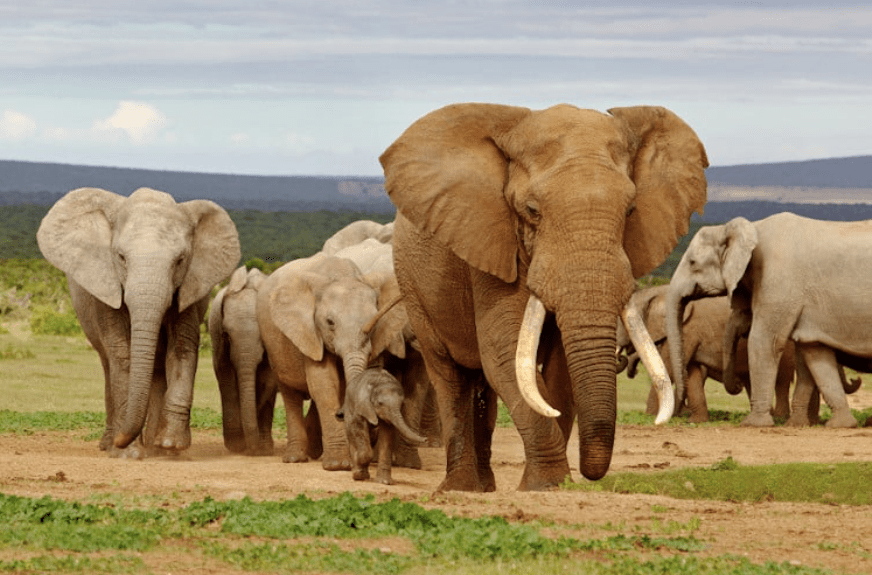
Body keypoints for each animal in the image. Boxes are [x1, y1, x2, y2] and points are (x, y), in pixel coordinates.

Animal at [37, 187, 240, 457]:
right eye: (121, 257)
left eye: (180, 260)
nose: (122, 439)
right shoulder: (106, 286)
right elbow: (122, 354)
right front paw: (127, 453)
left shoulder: (188, 287)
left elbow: (182, 348)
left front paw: (171, 445)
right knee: (108, 362)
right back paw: (111, 444)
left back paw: (155, 447)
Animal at [208, 265, 278, 455]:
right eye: (227, 335)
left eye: (262, 337)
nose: (252, 451)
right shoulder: (218, 337)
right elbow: (226, 376)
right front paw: (236, 445)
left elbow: (267, 380)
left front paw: (262, 449)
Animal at [256, 253, 409, 470]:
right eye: (330, 322)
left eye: (375, 320)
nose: (341, 414)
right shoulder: (311, 333)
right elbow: (325, 384)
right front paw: (338, 465)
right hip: (275, 348)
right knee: (290, 393)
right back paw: (295, 458)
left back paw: (313, 453)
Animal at [381, 103, 709, 491]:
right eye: (532, 211)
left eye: (630, 211)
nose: (589, 474)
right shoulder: (492, 244)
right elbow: (505, 351)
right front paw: (548, 485)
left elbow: (559, 366)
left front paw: (553, 484)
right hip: (413, 287)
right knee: (450, 375)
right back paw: (460, 488)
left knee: (481, 383)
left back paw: (486, 487)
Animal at [666, 213, 872, 428]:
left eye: (692, 262)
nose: (737, 385)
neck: (750, 228)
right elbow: (815, 354)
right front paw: (837, 425)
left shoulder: (777, 283)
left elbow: (764, 342)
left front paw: (753, 424)